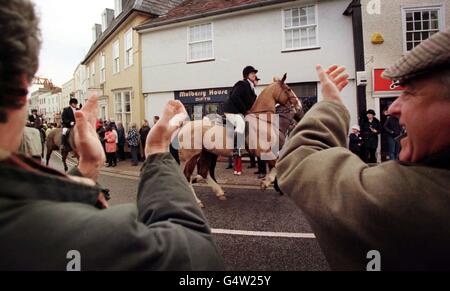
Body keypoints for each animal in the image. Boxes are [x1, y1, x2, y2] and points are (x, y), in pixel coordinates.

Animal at [178, 74, 302, 209]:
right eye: (289, 89)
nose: (299, 105)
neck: (263, 121)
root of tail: (184, 127)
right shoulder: (264, 152)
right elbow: (276, 165)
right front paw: (266, 183)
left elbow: (276, 165)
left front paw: (270, 184)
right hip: (193, 156)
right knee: (188, 175)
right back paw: (197, 201)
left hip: (208, 153)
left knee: (203, 171)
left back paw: (219, 192)